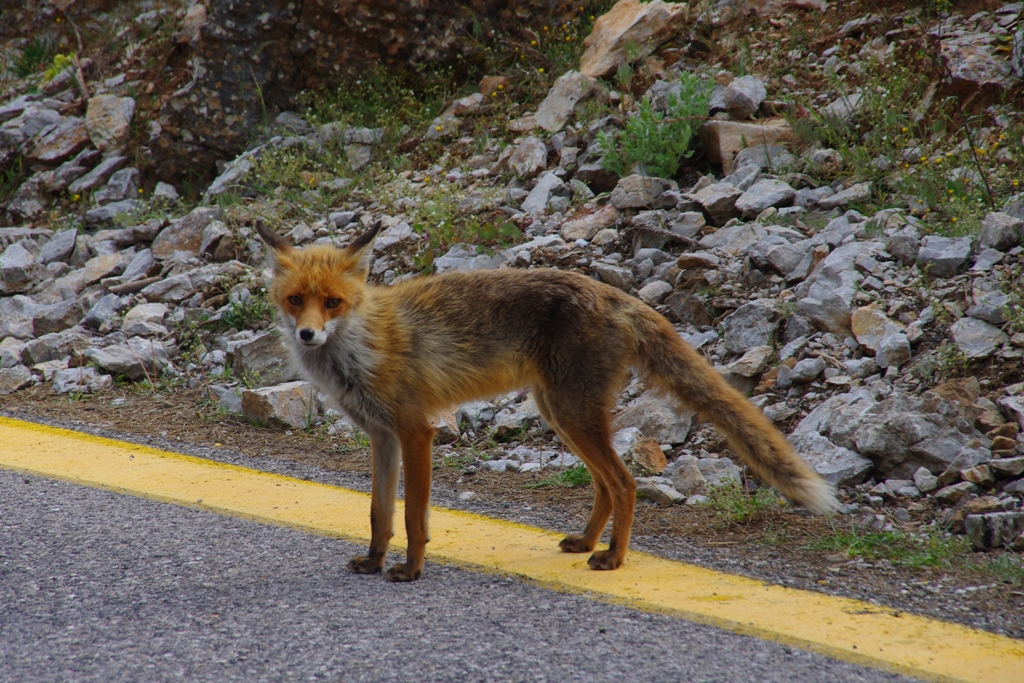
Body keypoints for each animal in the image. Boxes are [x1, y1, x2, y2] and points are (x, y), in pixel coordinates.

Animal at [256, 220, 839, 581]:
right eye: (296, 301)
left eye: (333, 302)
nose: (307, 335)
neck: (362, 347)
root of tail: (617, 295)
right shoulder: (381, 435)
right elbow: (379, 513)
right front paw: (375, 562)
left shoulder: (416, 431)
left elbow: (416, 517)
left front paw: (411, 570)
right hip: (560, 414)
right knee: (606, 485)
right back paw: (586, 542)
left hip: (572, 414)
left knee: (625, 484)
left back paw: (614, 558)